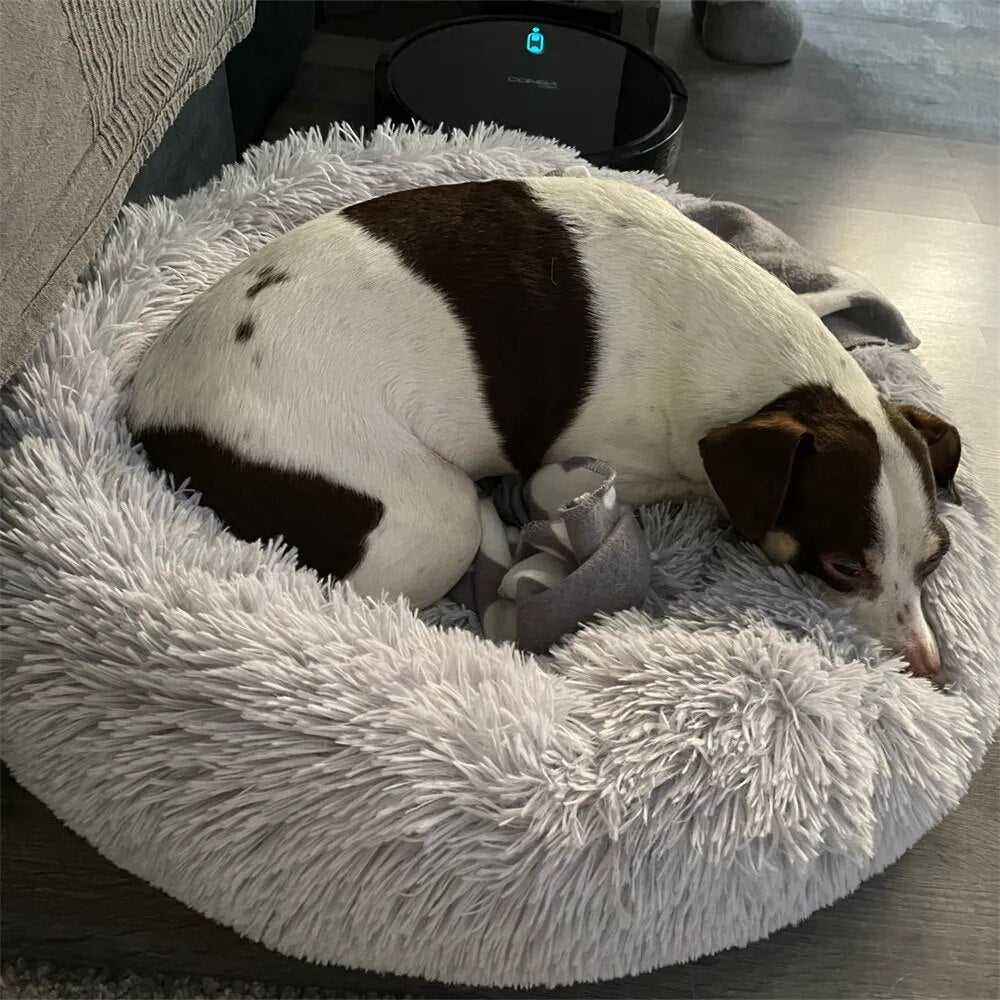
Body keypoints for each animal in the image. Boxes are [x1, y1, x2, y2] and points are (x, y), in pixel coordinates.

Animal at [125, 178, 960, 680]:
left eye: (935, 558)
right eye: (843, 565)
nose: (929, 667)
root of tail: (150, 413)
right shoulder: (586, 466)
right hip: (427, 517)